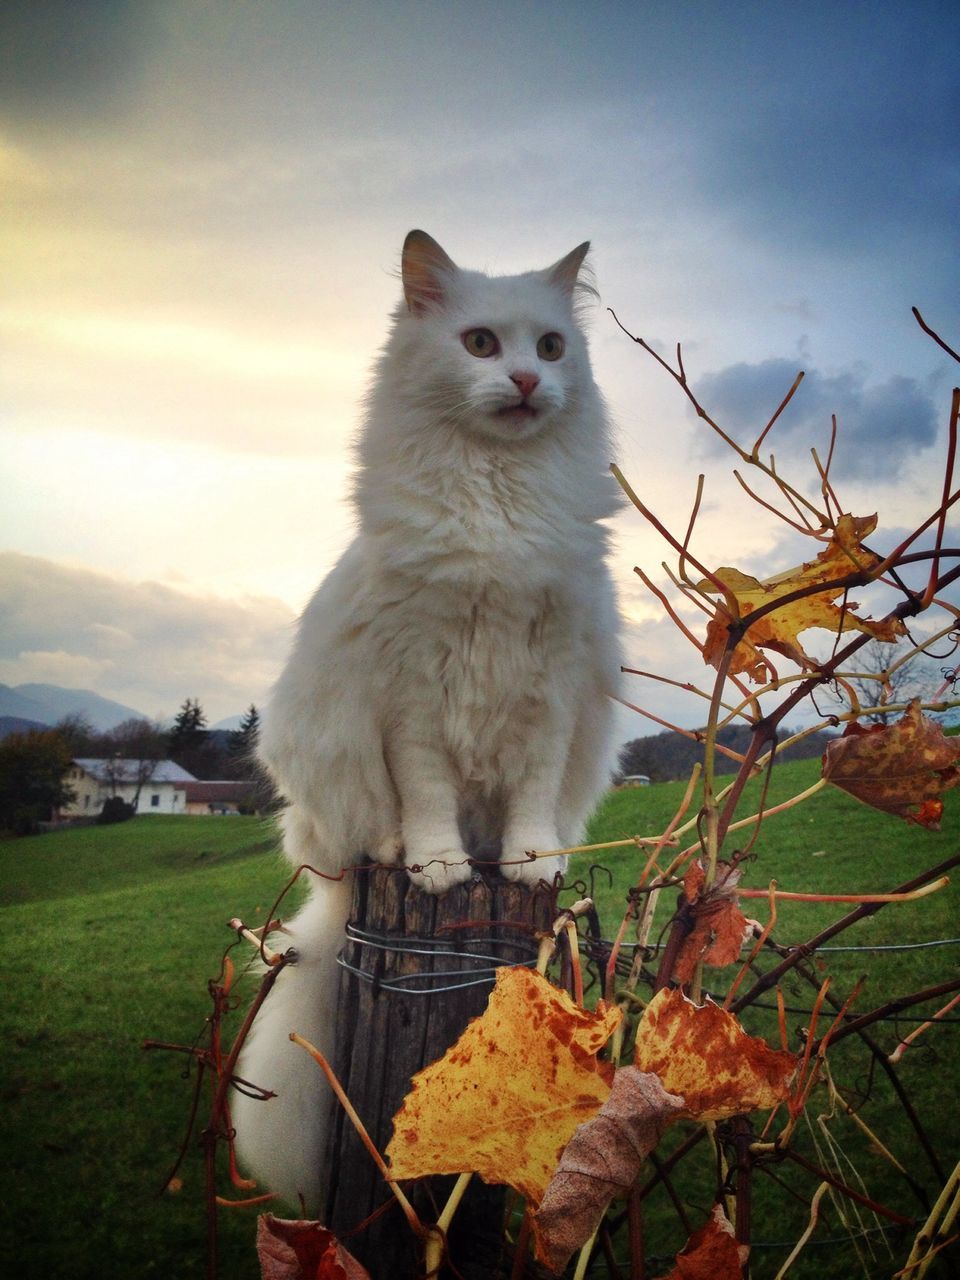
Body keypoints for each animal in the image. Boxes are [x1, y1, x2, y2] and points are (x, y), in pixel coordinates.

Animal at [232, 232, 624, 1208]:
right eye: (480, 344)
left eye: (552, 348)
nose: (525, 380)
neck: (499, 498)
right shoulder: (412, 692)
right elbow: (431, 801)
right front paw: (441, 866)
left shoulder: (551, 686)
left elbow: (529, 805)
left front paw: (528, 860)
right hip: (332, 788)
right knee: (375, 835)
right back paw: (400, 856)